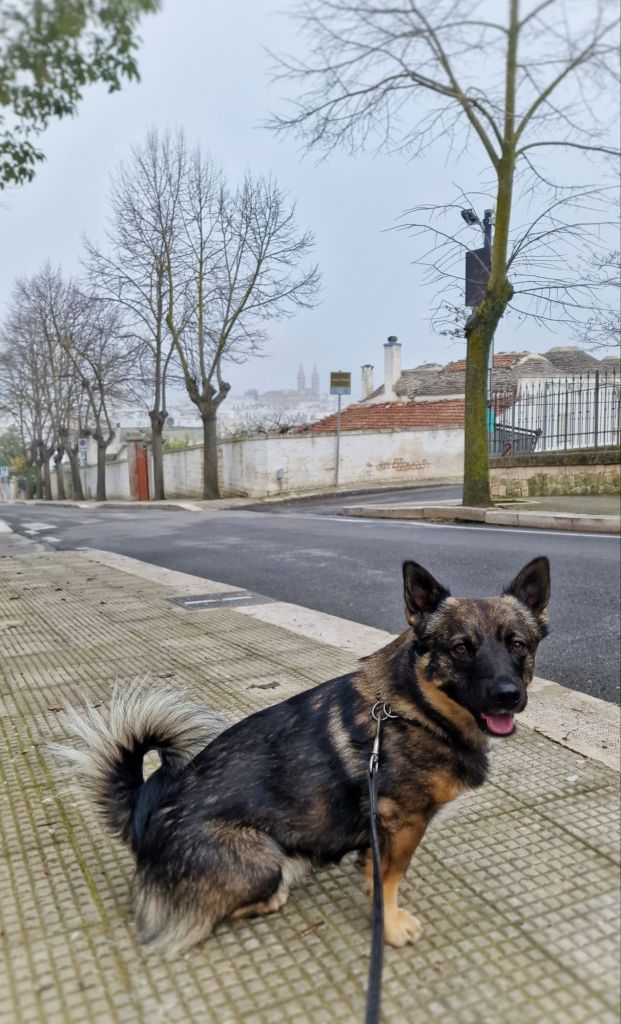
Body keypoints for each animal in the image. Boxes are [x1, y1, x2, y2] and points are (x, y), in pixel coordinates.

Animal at [53, 556, 550, 955]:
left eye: (518, 644)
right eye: (461, 648)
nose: (508, 696)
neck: (414, 708)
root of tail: (145, 819)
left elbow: (377, 872)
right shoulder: (404, 823)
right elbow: (390, 880)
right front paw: (389, 926)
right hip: (262, 859)